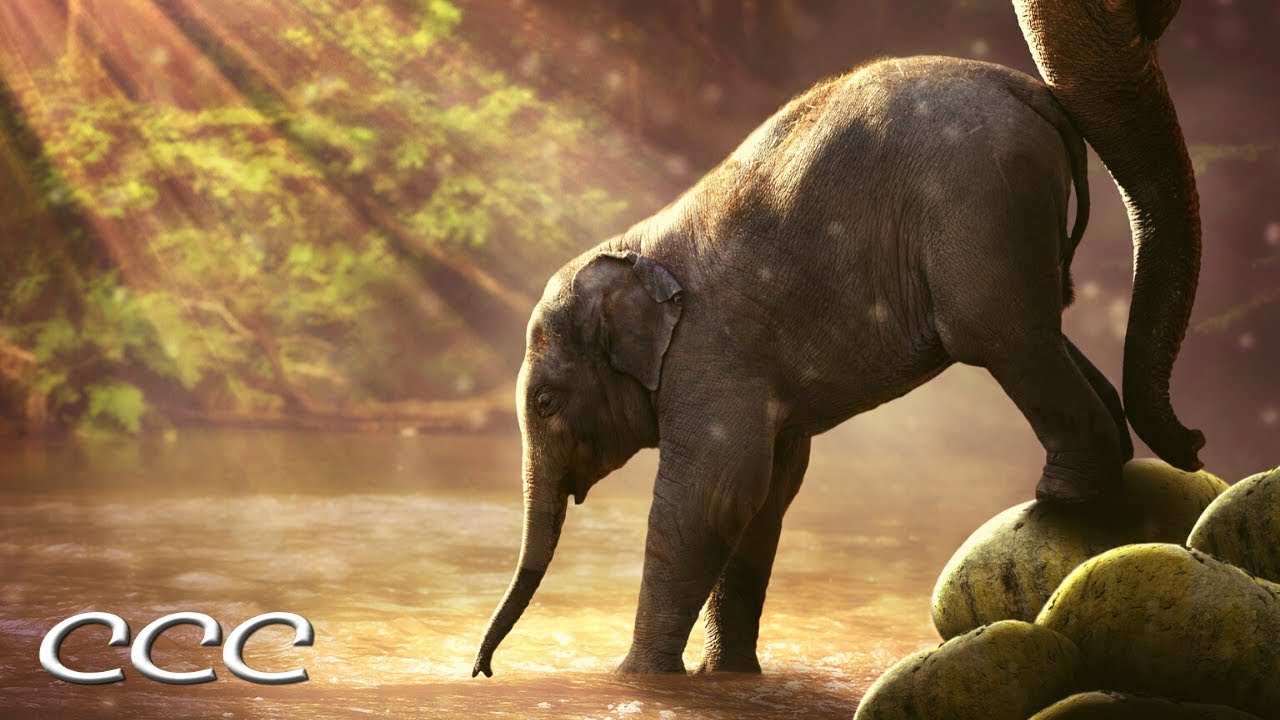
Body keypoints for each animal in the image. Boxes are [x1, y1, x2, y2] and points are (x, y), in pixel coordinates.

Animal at [473, 0, 1204, 678]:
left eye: (545, 403)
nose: (482, 669)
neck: (634, 248)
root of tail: (1029, 90)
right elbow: (765, 496)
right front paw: (727, 677)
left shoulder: (712, 359)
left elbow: (712, 496)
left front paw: (638, 678)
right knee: (1043, 328)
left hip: (980, 206)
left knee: (1002, 335)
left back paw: (1067, 494)